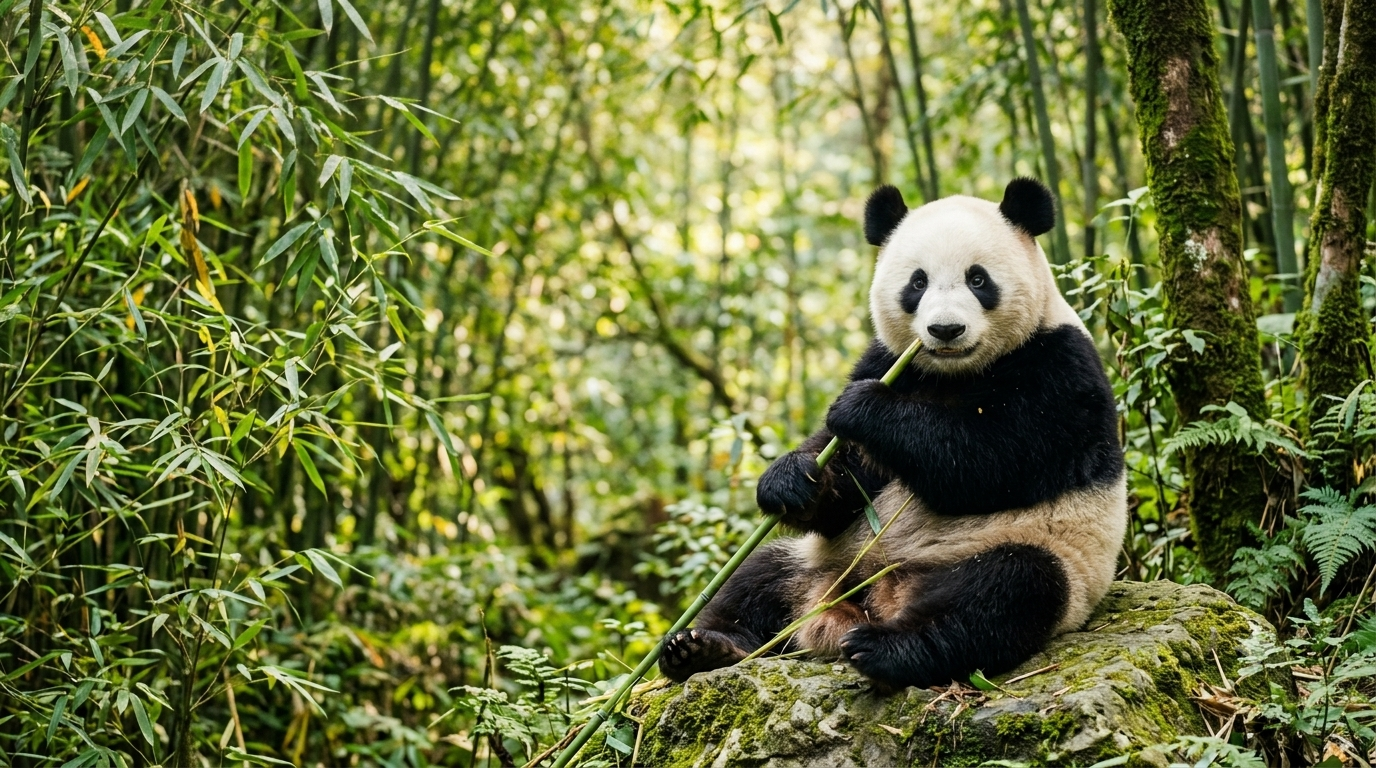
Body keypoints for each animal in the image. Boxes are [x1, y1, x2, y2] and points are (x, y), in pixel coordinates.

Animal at [658, 178, 1127, 690]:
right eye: (917, 282)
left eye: (978, 279)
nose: (946, 329)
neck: (953, 373)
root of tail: (868, 597)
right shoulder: (886, 360)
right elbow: (850, 480)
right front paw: (790, 480)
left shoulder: (1060, 370)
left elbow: (989, 461)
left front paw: (863, 409)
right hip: (820, 558)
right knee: (754, 578)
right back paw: (700, 648)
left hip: (1040, 553)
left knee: (1000, 594)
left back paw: (886, 648)